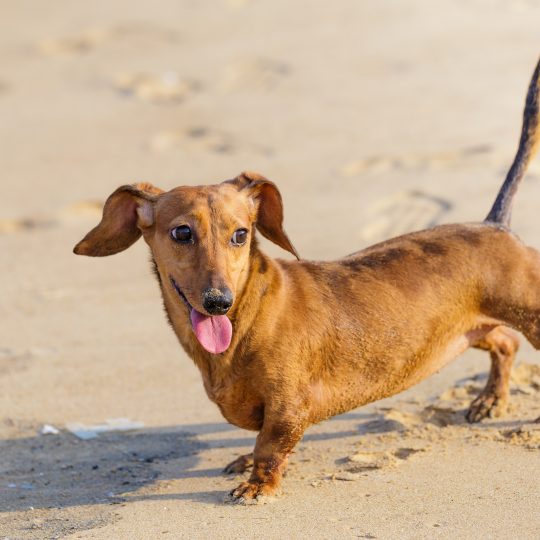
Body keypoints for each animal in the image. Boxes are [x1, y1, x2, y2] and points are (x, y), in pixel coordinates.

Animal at [74, 59, 536, 502]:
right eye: (182, 233)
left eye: (240, 234)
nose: (219, 301)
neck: (249, 315)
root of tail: (495, 225)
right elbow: (260, 440)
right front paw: (247, 465)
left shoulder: (290, 405)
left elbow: (270, 444)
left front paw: (258, 485)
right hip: (466, 330)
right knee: (505, 343)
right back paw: (490, 400)